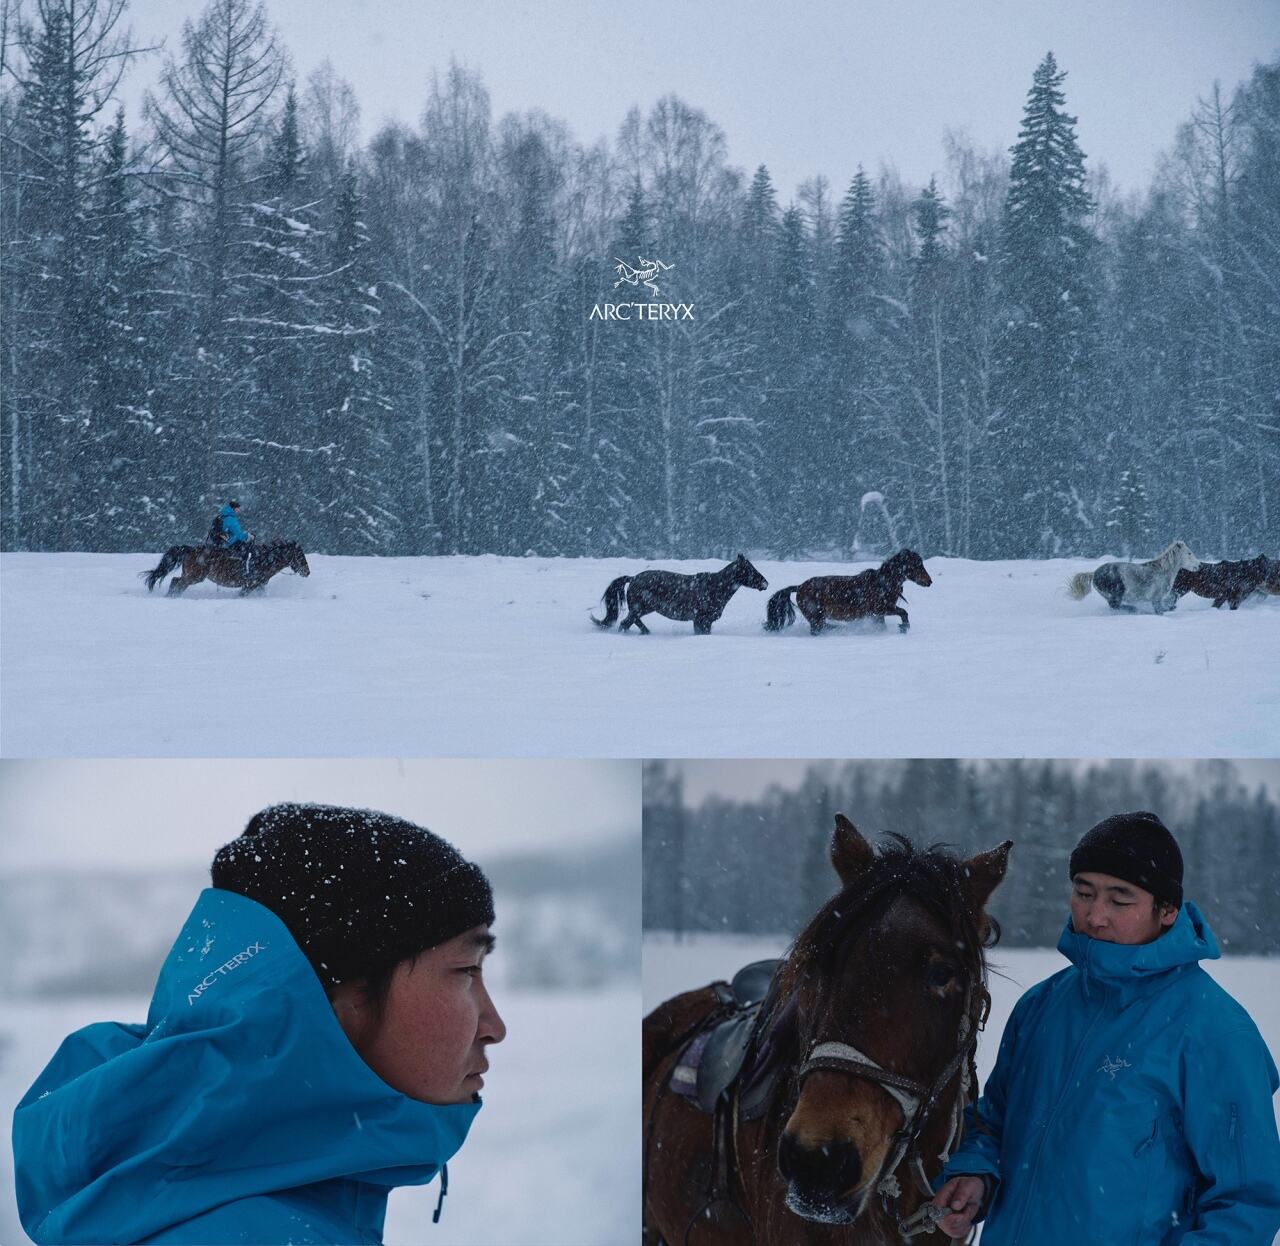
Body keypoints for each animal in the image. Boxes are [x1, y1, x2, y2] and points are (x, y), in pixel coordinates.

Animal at [142, 537, 309, 596]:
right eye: (300, 555)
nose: (307, 572)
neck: (264, 559)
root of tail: (189, 549)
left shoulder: (259, 585)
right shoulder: (250, 585)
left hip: (190, 577)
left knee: (176, 583)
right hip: (194, 577)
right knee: (176, 582)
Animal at [591, 550, 768, 632]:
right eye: (749, 569)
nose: (765, 583)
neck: (714, 587)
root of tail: (633, 578)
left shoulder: (704, 622)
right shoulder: (701, 620)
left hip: (642, 610)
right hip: (639, 609)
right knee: (625, 623)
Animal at [757, 550, 931, 637]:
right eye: (917, 564)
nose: (929, 581)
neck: (882, 583)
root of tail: (799, 587)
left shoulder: (878, 615)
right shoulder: (880, 609)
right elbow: (903, 612)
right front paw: (904, 627)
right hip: (816, 617)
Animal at [1070, 540, 1198, 612]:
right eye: (1189, 553)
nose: (1199, 565)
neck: (1163, 571)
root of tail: (1094, 573)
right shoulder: (1156, 599)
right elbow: (1160, 611)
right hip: (1117, 592)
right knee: (1115, 605)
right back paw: (1132, 609)